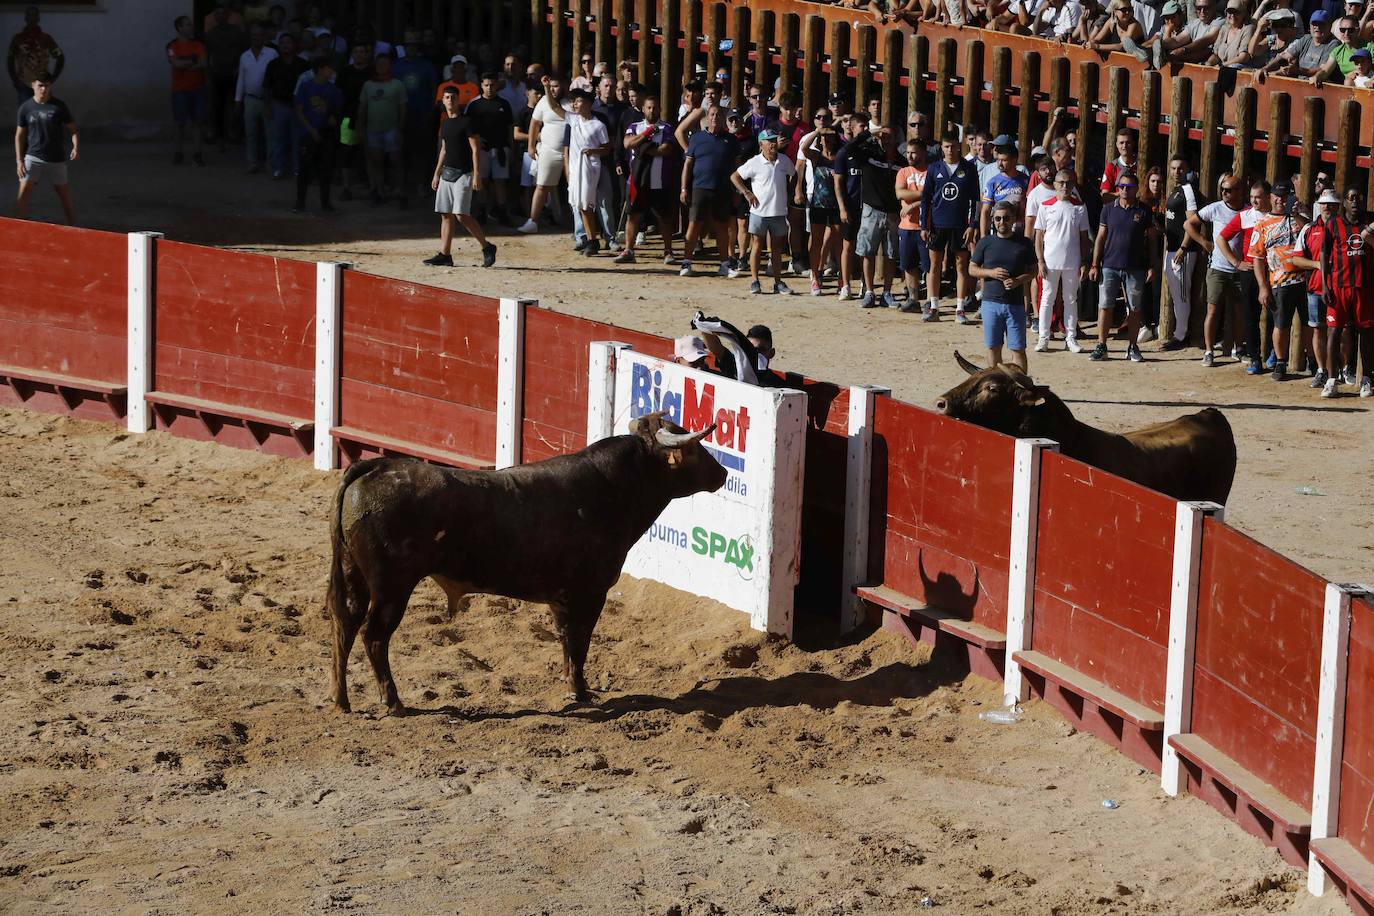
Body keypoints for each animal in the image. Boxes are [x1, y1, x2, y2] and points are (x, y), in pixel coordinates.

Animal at [324, 409, 730, 714]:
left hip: (354, 575)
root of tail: (374, 468)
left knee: (344, 625)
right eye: (695, 448)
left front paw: (574, 687)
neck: (612, 488)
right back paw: (393, 701)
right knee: (374, 635)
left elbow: (567, 640)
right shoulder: (590, 593)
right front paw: (580, 692)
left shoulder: (562, 598)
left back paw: (341, 701)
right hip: (393, 587)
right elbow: (580, 640)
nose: (724, 473)